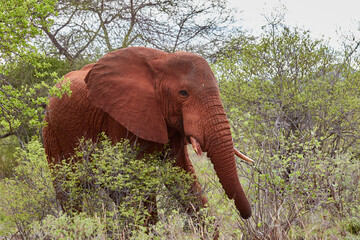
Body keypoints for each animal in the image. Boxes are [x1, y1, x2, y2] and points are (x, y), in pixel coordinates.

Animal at [43, 46, 253, 220]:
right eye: (183, 93)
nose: (246, 216)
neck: (162, 60)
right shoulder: (121, 119)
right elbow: (134, 182)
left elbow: (181, 175)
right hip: (50, 130)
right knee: (69, 189)